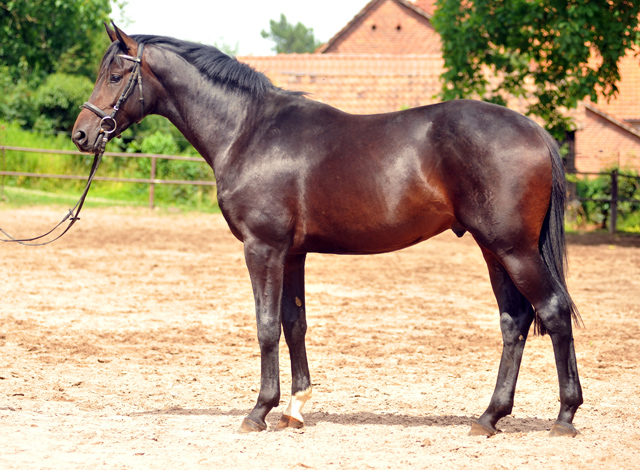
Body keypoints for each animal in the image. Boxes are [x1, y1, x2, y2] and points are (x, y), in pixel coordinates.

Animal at [72, 24, 584, 436]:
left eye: (115, 75)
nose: (81, 135)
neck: (248, 130)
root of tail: (536, 132)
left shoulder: (263, 249)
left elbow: (265, 326)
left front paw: (259, 411)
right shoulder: (292, 253)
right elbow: (294, 324)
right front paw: (294, 409)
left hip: (513, 248)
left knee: (553, 311)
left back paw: (564, 417)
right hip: (493, 249)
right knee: (515, 321)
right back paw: (489, 417)